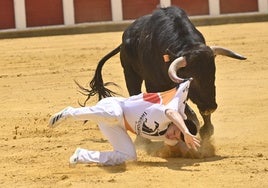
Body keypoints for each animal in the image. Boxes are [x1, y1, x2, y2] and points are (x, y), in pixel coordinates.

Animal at [77, 6, 245, 138]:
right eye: (192, 79)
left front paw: (205, 131)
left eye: (212, 75)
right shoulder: (154, 85)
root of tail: (124, 40)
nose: (210, 106)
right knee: (134, 92)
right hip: (130, 74)